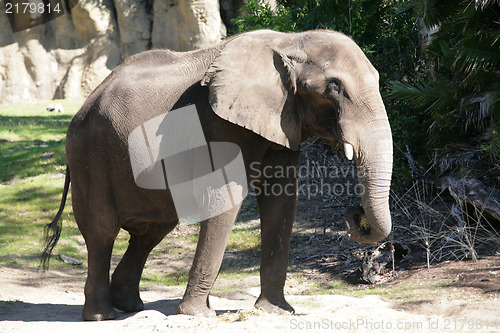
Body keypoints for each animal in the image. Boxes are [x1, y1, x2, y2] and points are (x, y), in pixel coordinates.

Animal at [43, 28, 392, 320]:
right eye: (335, 87)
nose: (356, 215)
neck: (291, 41)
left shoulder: (283, 122)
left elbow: (281, 203)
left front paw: (276, 312)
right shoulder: (219, 125)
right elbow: (224, 200)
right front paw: (197, 315)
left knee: (150, 231)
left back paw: (130, 306)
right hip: (90, 155)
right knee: (102, 232)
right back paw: (103, 316)